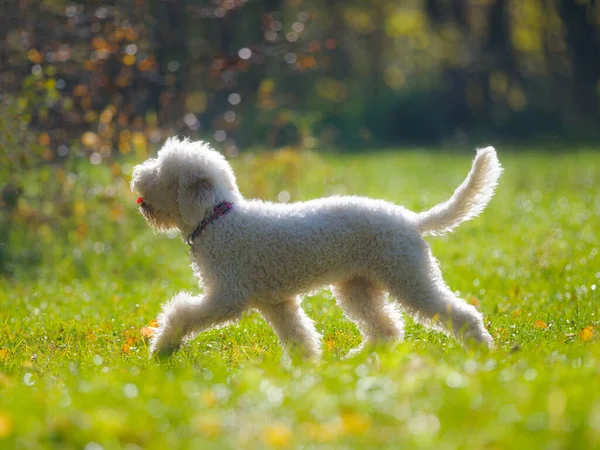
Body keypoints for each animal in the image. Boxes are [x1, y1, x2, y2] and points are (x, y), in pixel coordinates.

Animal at [131, 138, 502, 358]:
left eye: (160, 171)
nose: (135, 175)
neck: (218, 219)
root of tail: (411, 220)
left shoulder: (228, 296)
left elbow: (181, 312)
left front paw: (163, 348)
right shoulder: (277, 302)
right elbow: (298, 334)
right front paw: (304, 368)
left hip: (409, 277)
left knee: (460, 313)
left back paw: (482, 351)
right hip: (358, 287)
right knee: (386, 328)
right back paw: (360, 360)